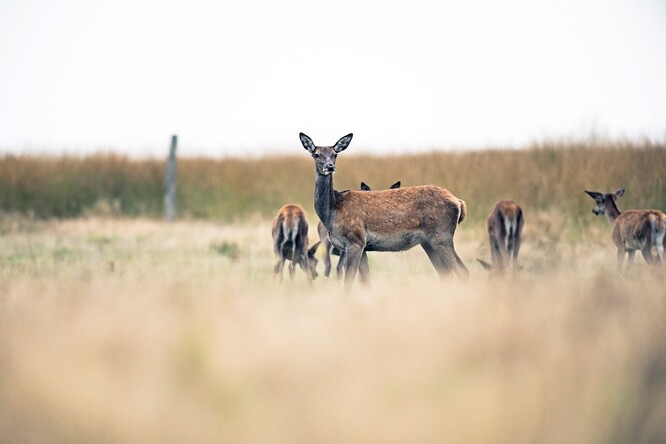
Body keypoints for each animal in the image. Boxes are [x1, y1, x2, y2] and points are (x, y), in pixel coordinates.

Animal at [300, 132, 466, 292]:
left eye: (335, 154)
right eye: (316, 154)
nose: (330, 167)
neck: (333, 211)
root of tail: (459, 202)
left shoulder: (355, 240)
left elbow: (349, 282)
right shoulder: (361, 246)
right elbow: (366, 280)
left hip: (441, 236)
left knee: (462, 270)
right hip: (427, 242)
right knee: (445, 273)